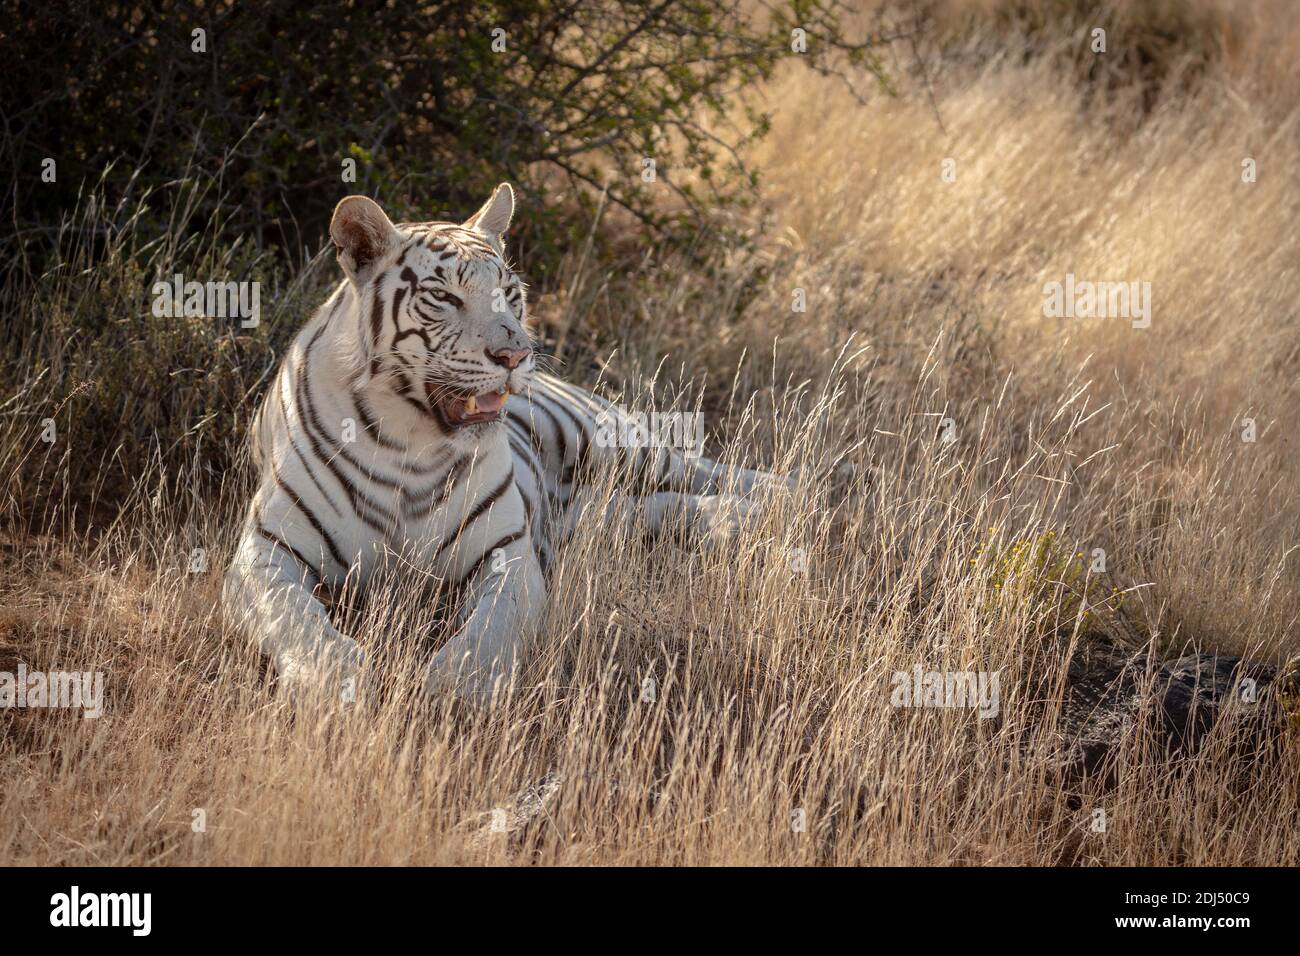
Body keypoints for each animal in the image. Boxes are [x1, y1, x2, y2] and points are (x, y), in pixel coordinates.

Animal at [223, 184, 792, 705]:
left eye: (510, 293)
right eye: (444, 297)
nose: (516, 355)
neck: (410, 440)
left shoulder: (507, 554)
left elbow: (490, 628)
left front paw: (459, 688)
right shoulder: (267, 550)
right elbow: (294, 616)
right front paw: (332, 681)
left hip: (609, 441)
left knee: (711, 470)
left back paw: (786, 501)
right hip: (589, 514)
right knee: (643, 510)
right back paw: (731, 521)